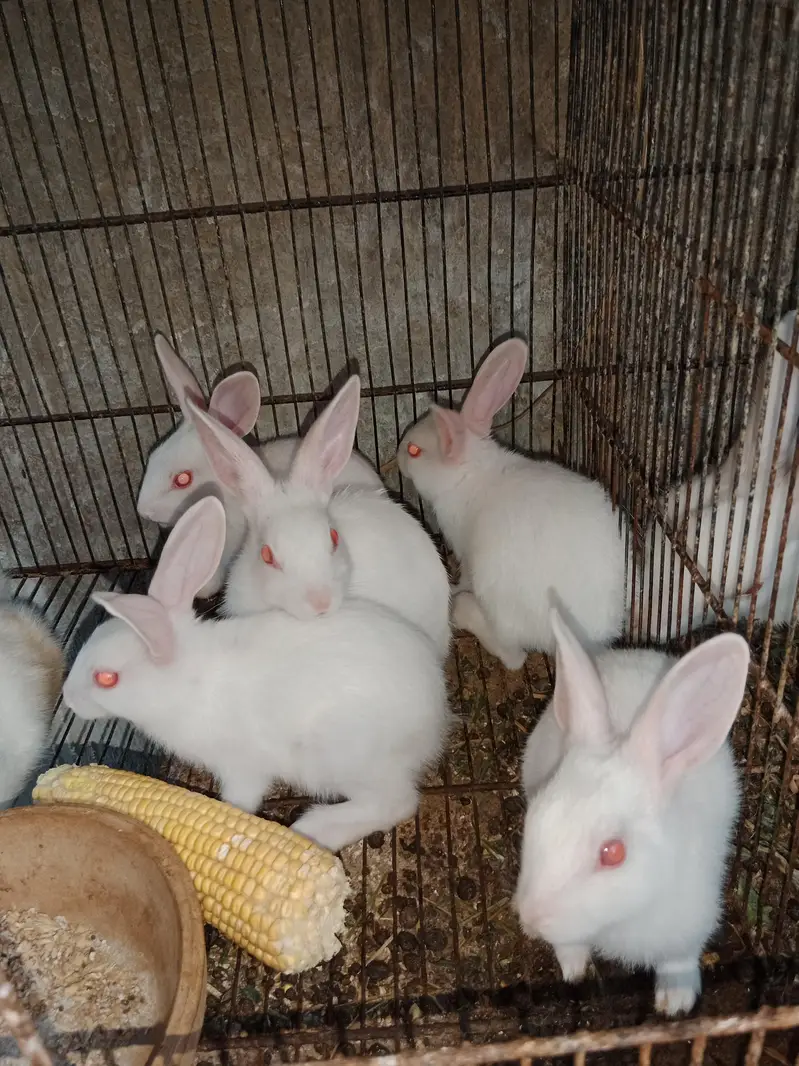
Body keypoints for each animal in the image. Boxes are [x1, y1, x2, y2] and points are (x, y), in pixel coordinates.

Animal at [62, 497, 450, 852]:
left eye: (106, 679)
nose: (67, 698)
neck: (187, 682)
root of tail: (436, 717)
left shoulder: (240, 766)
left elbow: (239, 800)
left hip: (342, 759)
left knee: (397, 802)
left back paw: (315, 829)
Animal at [397, 338, 625, 668]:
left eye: (414, 451)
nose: (397, 455)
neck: (469, 474)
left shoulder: (466, 553)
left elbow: (465, 575)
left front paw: (457, 588)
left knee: (514, 656)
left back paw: (464, 612)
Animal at [515, 607, 748, 1016]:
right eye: (538, 815)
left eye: (613, 853)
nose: (530, 918)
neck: (619, 919)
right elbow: (569, 943)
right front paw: (574, 970)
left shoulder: (690, 927)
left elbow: (679, 961)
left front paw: (675, 1003)